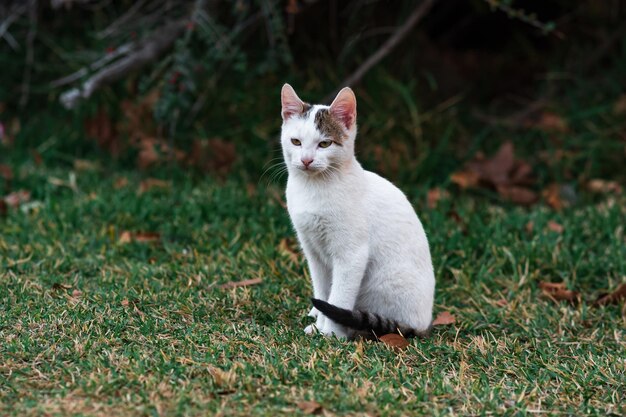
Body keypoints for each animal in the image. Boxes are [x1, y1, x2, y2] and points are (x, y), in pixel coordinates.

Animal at [280, 83, 434, 338]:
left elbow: (339, 297)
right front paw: (319, 324)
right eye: (296, 142)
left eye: (325, 144)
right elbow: (323, 291)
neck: (315, 188)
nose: (306, 160)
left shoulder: (352, 255)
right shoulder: (313, 251)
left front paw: (331, 334)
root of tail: (424, 324)